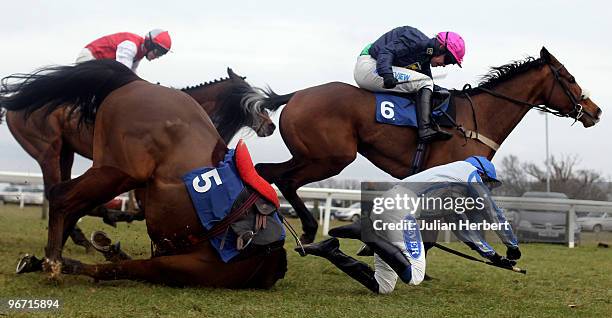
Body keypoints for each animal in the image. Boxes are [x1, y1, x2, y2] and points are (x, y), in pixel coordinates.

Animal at [0, 58, 286, 286]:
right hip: (100, 165)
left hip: (80, 159)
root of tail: (136, 83)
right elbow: (121, 262)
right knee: (59, 194)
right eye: (253, 102)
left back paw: (52, 254)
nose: (270, 126)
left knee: (68, 200)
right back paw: (54, 260)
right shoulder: (175, 262)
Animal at [255, 47, 604, 242]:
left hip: (311, 155)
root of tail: (296, 95)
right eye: (569, 78)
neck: (478, 117)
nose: (596, 111)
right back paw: (307, 227)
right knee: (283, 178)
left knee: (266, 171)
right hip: (330, 157)